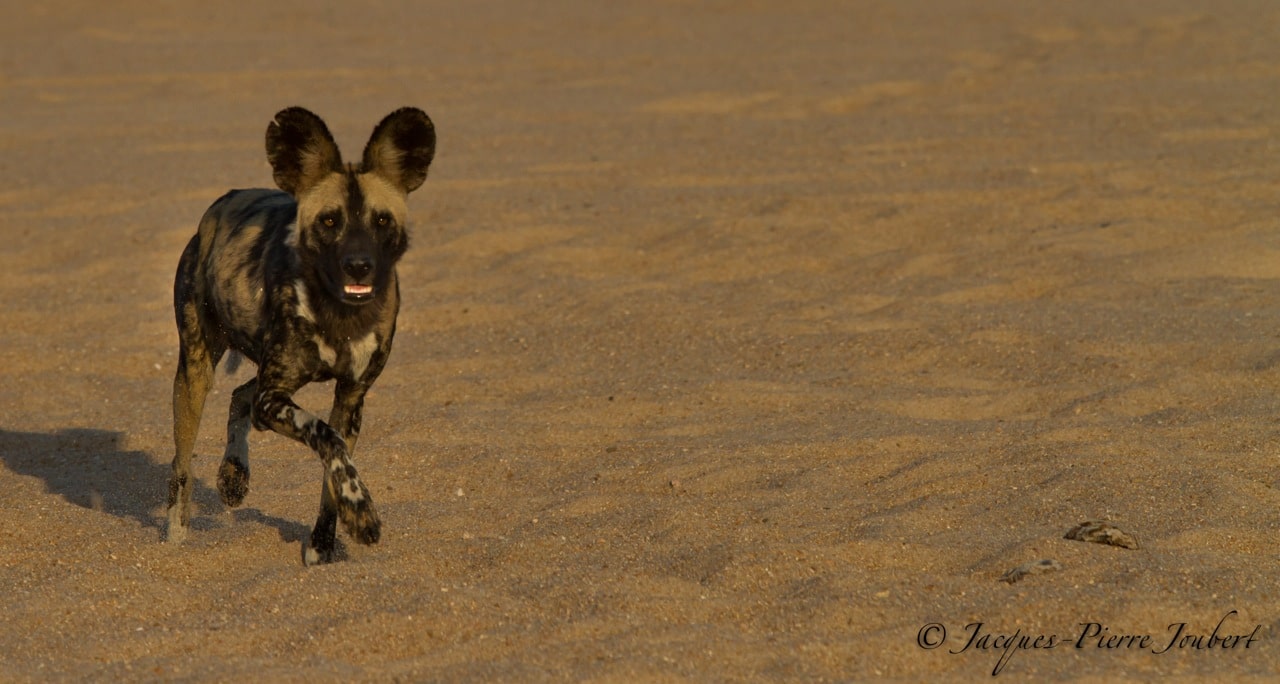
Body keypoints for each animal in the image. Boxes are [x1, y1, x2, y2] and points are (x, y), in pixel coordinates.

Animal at [165, 107, 437, 568]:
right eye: (329, 221)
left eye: (381, 220)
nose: (359, 265)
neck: (340, 316)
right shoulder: (275, 399)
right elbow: (326, 438)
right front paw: (362, 512)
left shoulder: (350, 398)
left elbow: (334, 464)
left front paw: (326, 543)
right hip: (196, 374)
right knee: (182, 465)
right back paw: (175, 535)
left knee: (240, 395)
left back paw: (234, 476)